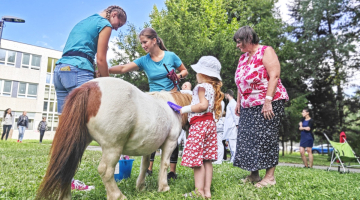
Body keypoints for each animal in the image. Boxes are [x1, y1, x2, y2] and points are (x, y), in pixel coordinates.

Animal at [36, 77, 193, 200]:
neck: (172, 106)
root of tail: (90, 87)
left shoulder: (149, 146)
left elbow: (144, 165)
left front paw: (141, 187)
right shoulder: (170, 142)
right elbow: (164, 164)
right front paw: (164, 187)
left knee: (69, 167)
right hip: (113, 147)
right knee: (105, 170)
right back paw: (117, 195)